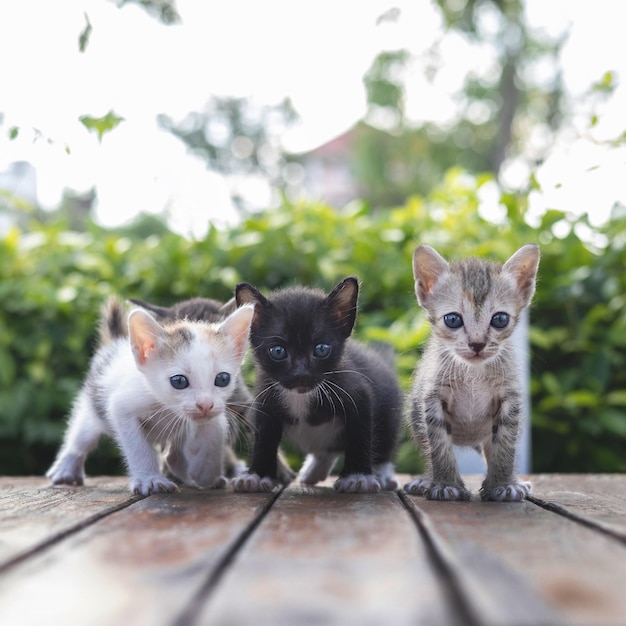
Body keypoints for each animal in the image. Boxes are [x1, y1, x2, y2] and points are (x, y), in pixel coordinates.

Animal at [47, 298, 254, 492]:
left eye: (223, 379)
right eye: (179, 381)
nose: (204, 405)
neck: (166, 407)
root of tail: (116, 342)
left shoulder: (220, 407)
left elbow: (217, 428)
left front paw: (205, 472)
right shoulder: (121, 407)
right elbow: (138, 446)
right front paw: (150, 479)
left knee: (173, 454)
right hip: (93, 408)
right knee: (81, 439)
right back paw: (65, 469)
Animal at [229, 278, 400, 492]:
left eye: (321, 349)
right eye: (278, 351)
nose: (301, 374)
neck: (300, 396)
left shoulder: (357, 394)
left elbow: (360, 435)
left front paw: (357, 477)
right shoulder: (265, 399)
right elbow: (263, 438)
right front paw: (257, 475)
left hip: (390, 409)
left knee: (385, 443)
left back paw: (383, 474)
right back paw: (314, 470)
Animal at [402, 244, 540, 502]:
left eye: (500, 319)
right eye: (453, 319)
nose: (477, 344)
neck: (473, 374)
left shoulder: (510, 399)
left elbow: (505, 446)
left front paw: (503, 484)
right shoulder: (431, 399)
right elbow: (438, 446)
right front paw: (445, 484)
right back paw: (426, 480)